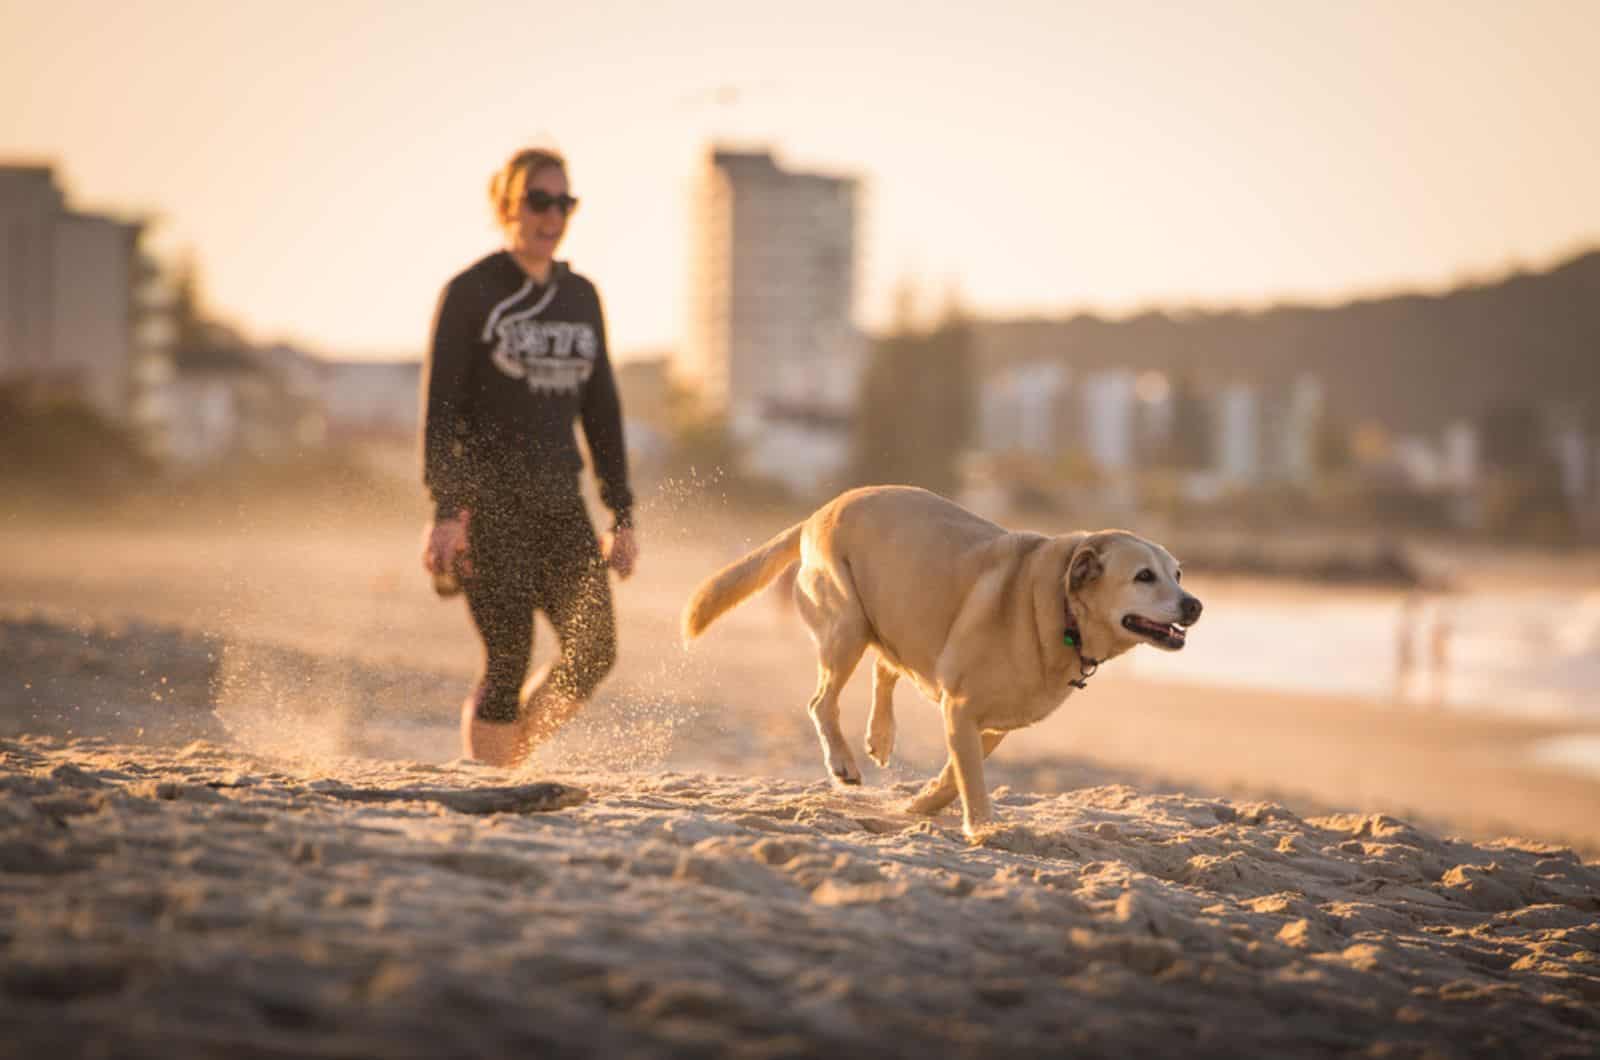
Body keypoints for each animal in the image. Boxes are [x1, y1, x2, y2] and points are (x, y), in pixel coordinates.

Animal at [678, 486, 1203, 845]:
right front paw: (984, 828)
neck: (1059, 607)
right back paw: (843, 761)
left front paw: (924, 802)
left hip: (893, 614)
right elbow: (970, 778)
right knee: (822, 701)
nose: (1195, 605)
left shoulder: (994, 726)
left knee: (886, 666)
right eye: (1144, 576)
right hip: (847, 624)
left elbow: (956, 774)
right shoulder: (962, 708)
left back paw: (880, 736)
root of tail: (817, 514)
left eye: (1178, 573)